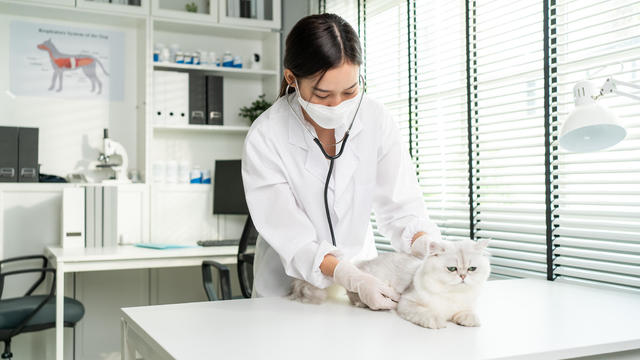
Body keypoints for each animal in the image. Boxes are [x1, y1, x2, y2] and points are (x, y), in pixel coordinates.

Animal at [288, 239, 492, 330]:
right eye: (452, 269)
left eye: (472, 268)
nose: (463, 276)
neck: (452, 296)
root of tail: (359, 265)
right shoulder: (408, 302)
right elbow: (427, 314)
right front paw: (438, 322)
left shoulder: (464, 305)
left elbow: (467, 313)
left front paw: (469, 320)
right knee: (353, 294)